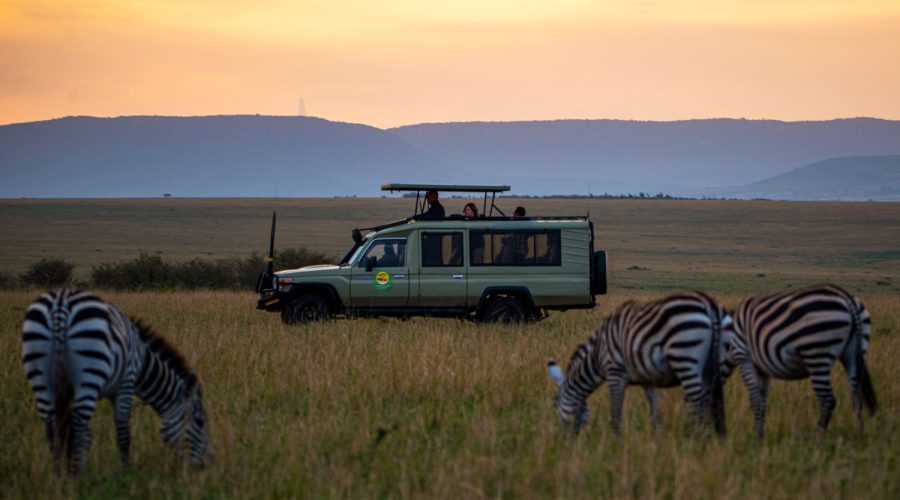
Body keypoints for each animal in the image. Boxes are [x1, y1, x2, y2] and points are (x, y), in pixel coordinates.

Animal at [22, 290, 208, 472]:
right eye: (200, 422)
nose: (204, 466)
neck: (143, 359)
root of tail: (60, 305)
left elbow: (78, 432)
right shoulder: (126, 383)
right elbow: (123, 429)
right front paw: (126, 471)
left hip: (40, 373)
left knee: (51, 425)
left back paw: (59, 475)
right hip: (89, 370)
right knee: (79, 425)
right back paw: (77, 476)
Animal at [548, 292, 732, 436]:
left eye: (555, 403)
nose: (564, 439)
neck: (597, 354)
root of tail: (709, 305)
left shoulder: (615, 373)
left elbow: (615, 413)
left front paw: (616, 444)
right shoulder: (647, 380)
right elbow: (655, 415)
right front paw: (658, 445)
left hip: (685, 358)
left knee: (699, 403)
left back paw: (696, 442)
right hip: (718, 365)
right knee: (710, 402)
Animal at [724, 286, 880, 438]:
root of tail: (847, 299)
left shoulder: (744, 356)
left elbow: (755, 400)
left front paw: (757, 438)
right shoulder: (761, 367)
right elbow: (762, 400)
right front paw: (761, 434)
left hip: (816, 352)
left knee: (828, 400)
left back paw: (816, 438)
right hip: (854, 353)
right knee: (857, 398)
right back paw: (861, 436)